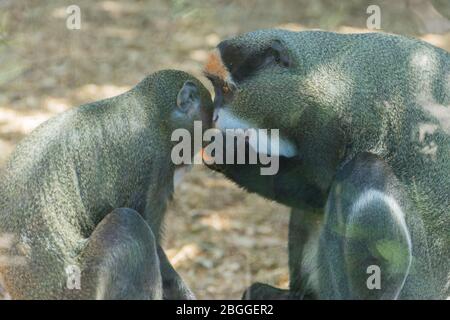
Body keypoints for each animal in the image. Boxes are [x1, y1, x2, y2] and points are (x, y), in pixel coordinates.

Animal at [205, 28, 450, 298]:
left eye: (225, 89)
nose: (214, 116)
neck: (313, 73)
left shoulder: (328, 119)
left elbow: (317, 186)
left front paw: (228, 153)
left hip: (416, 285)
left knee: (367, 171)